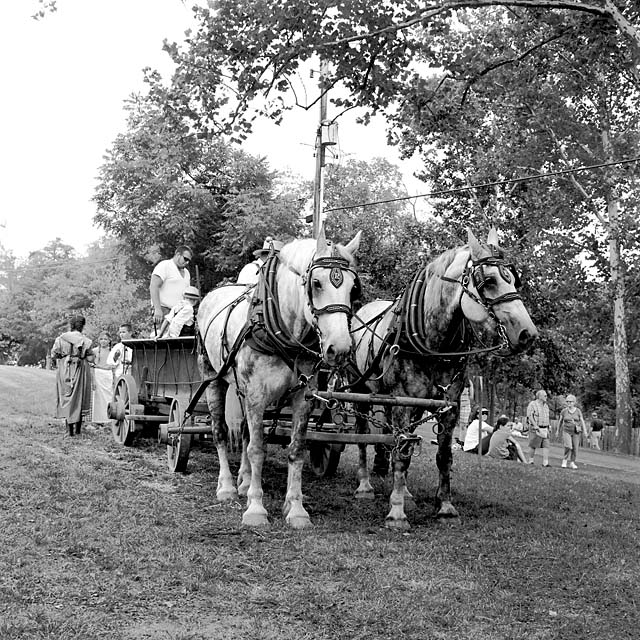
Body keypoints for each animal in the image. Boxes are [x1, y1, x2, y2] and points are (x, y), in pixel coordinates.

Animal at [198, 230, 362, 528]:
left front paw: (296, 509)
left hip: (241, 389)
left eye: (353, 287)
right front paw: (255, 508)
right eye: (316, 283)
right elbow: (258, 449)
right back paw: (227, 487)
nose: (341, 348)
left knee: (245, 431)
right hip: (213, 378)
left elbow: (295, 449)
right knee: (219, 432)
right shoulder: (256, 394)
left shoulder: (303, 397)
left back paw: (244, 481)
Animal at [352, 230, 536, 528]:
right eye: (489, 281)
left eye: (513, 279)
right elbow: (401, 455)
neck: (433, 343)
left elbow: (443, 455)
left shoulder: (449, 405)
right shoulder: (404, 401)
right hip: (360, 391)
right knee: (362, 436)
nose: (528, 334)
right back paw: (365, 486)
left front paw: (445, 506)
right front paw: (396, 512)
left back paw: (405, 490)